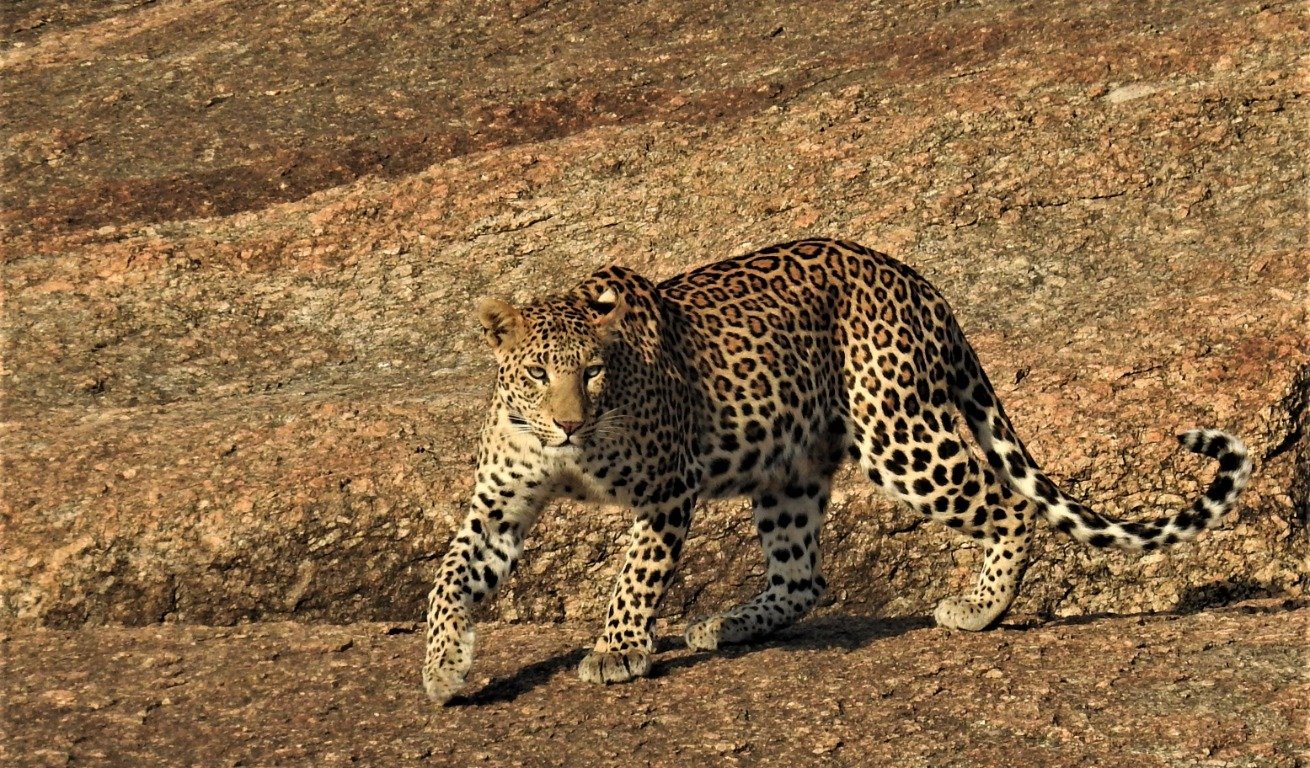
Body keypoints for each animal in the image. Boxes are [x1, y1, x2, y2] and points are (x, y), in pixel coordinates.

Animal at [422, 238, 1252, 704]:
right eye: (537, 374)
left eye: (593, 373)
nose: (569, 423)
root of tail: (915, 278)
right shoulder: (496, 507)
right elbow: (448, 580)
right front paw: (442, 669)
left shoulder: (667, 488)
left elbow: (636, 575)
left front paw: (618, 650)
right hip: (790, 465)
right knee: (803, 576)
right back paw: (728, 623)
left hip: (899, 435)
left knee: (1007, 506)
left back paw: (980, 607)